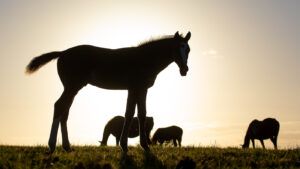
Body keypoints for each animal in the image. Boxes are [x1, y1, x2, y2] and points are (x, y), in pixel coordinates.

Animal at [25, 31, 190, 153]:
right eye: (177, 48)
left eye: (188, 49)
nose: (184, 70)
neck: (144, 59)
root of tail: (62, 52)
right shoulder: (136, 88)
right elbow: (131, 113)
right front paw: (128, 146)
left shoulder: (139, 89)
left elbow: (139, 114)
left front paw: (140, 146)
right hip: (72, 86)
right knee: (59, 106)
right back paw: (52, 145)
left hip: (73, 88)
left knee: (65, 111)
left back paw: (67, 147)